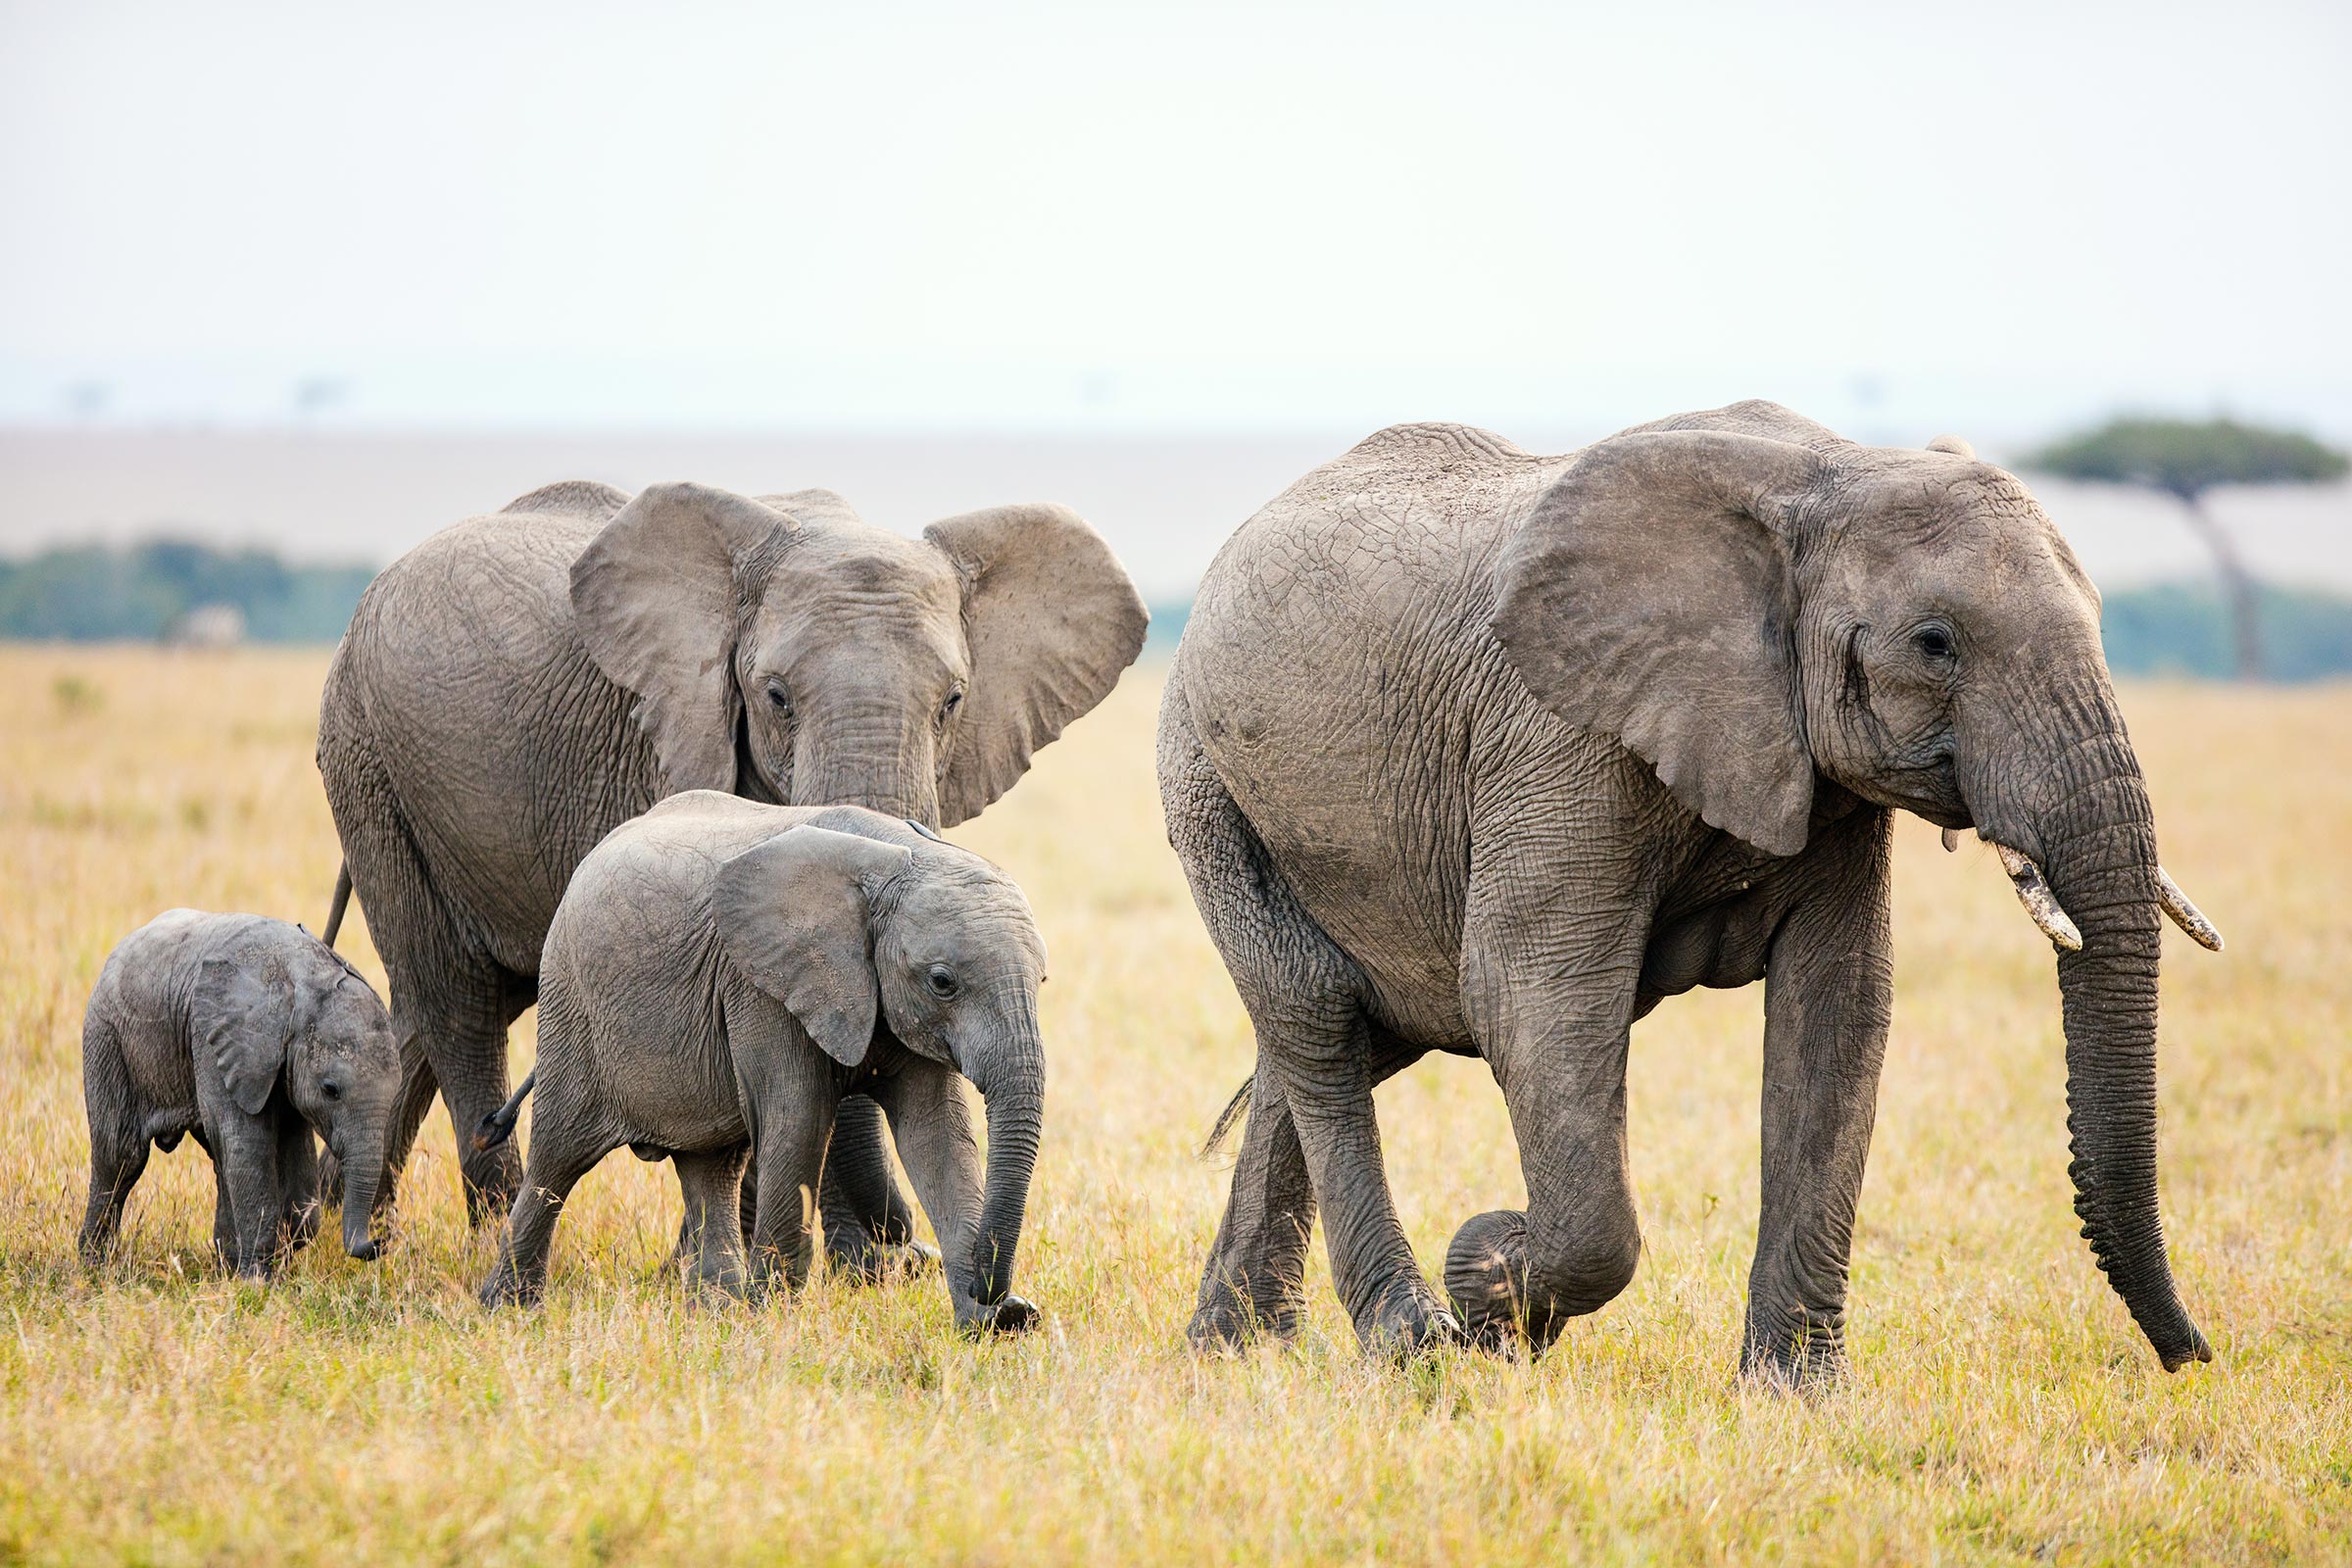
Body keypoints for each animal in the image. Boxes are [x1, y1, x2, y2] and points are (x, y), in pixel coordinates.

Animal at [80, 911, 402, 1278]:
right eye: (331, 1090)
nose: (380, 1242)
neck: (305, 977)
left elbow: (294, 1154)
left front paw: (275, 1264)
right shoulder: (212, 1034)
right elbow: (247, 1143)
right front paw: (258, 1281)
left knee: (217, 1158)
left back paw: (226, 1266)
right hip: (107, 1035)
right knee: (121, 1154)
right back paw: (94, 1268)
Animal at [319, 474, 1148, 1259]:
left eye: (953, 700)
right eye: (776, 697)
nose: (907, 1245)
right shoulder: (665, 736)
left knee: (423, 1015)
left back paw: (338, 1233)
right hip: (372, 766)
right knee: (457, 1004)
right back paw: (468, 1235)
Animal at [482, 789, 1054, 1335]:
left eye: (1043, 980)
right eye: (942, 982)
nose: (994, 1291)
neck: (895, 859)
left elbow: (937, 1134)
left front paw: (996, 1325)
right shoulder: (761, 987)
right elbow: (798, 1118)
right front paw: (772, 1316)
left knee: (711, 1166)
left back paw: (715, 1310)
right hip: (571, 1007)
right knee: (558, 1156)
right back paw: (508, 1307)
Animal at [1166, 404, 2230, 1382]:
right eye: (1936, 644)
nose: (2195, 1359)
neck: (1830, 472)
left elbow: (1840, 1008)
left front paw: (1795, 1395)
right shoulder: (1558, 735)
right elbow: (1531, 997)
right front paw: (1489, 1285)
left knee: (1340, 1037)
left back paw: (1237, 1350)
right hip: (1207, 780)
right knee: (1319, 1018)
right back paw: (1408, 1343)